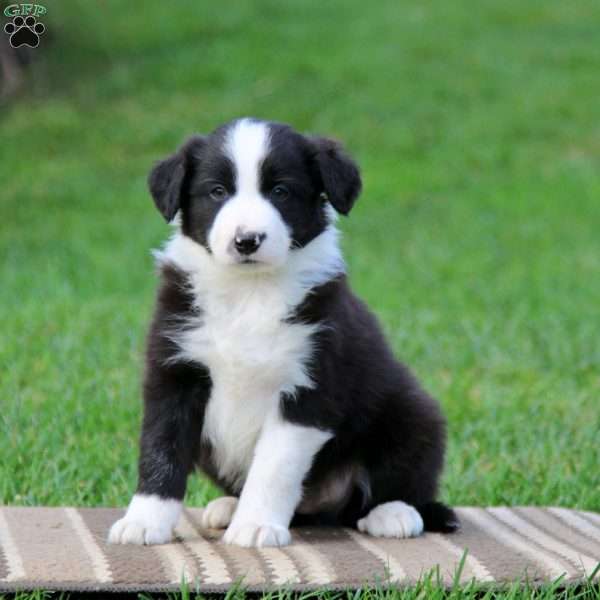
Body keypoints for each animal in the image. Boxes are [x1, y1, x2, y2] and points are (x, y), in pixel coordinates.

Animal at [108, 117, 458, 548]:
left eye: (281, 191)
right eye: (217, 191)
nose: (247, 240)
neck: (250, 292)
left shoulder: (308, 388)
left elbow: (273, 467)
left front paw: (257, 525)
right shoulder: (175, 372)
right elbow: (161, 449)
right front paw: (144, 520)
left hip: (413, 412)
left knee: (398, 484)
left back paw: (393, 513)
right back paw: (228, 507)